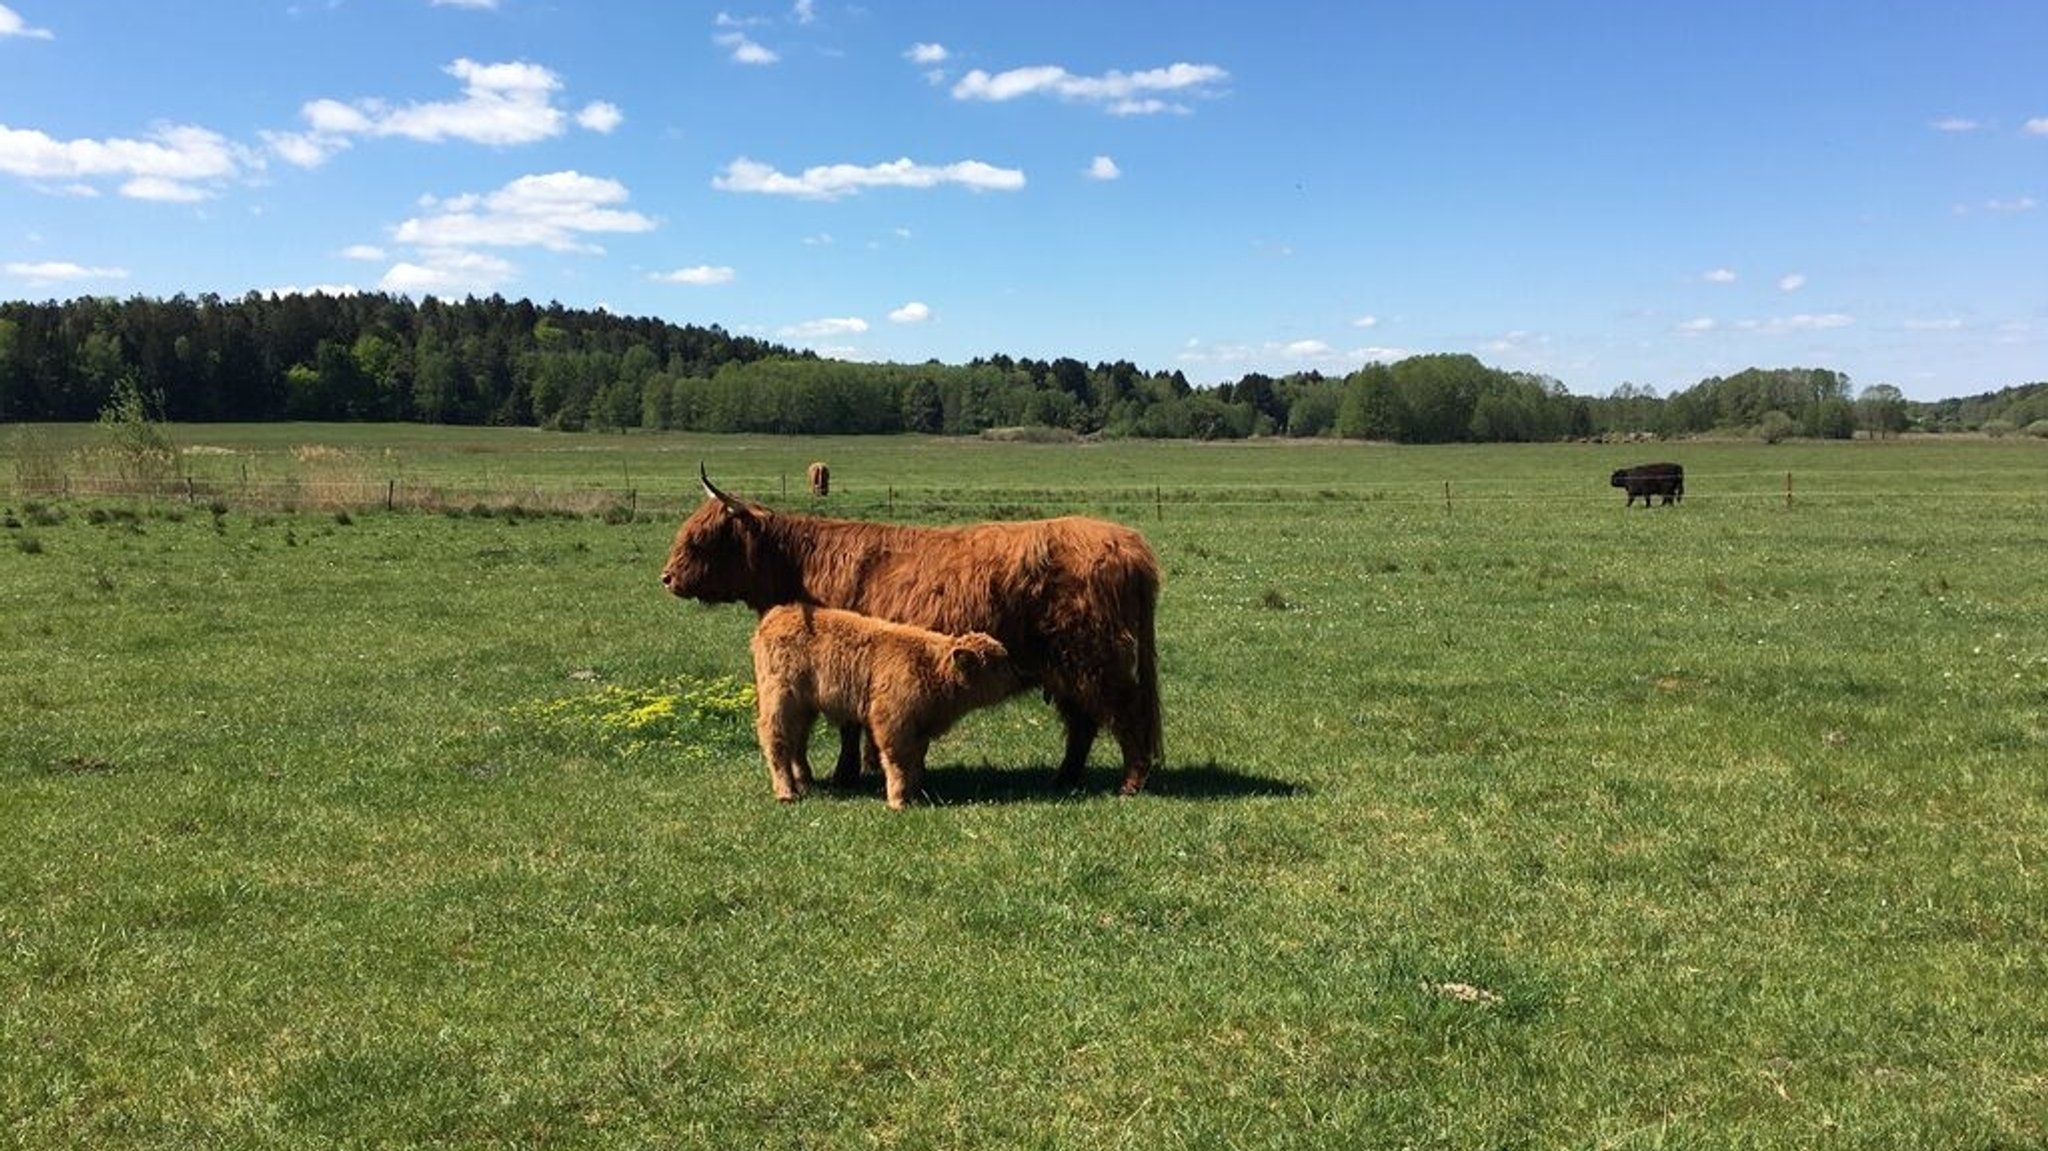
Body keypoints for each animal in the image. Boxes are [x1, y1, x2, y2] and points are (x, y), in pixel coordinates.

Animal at [749, 602, 1019, 806]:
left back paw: (805, 784)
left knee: (797, 743)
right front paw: (899, 801)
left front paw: (916, 794)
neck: (931, 667)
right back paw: (787, 793)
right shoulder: (892, 724)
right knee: (777, 741)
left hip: (804, 709)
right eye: (996, 665)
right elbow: (897, 762)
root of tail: (779, 613)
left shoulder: (919, 729)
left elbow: (916, 760)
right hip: (780, 702)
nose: (1017, 676)